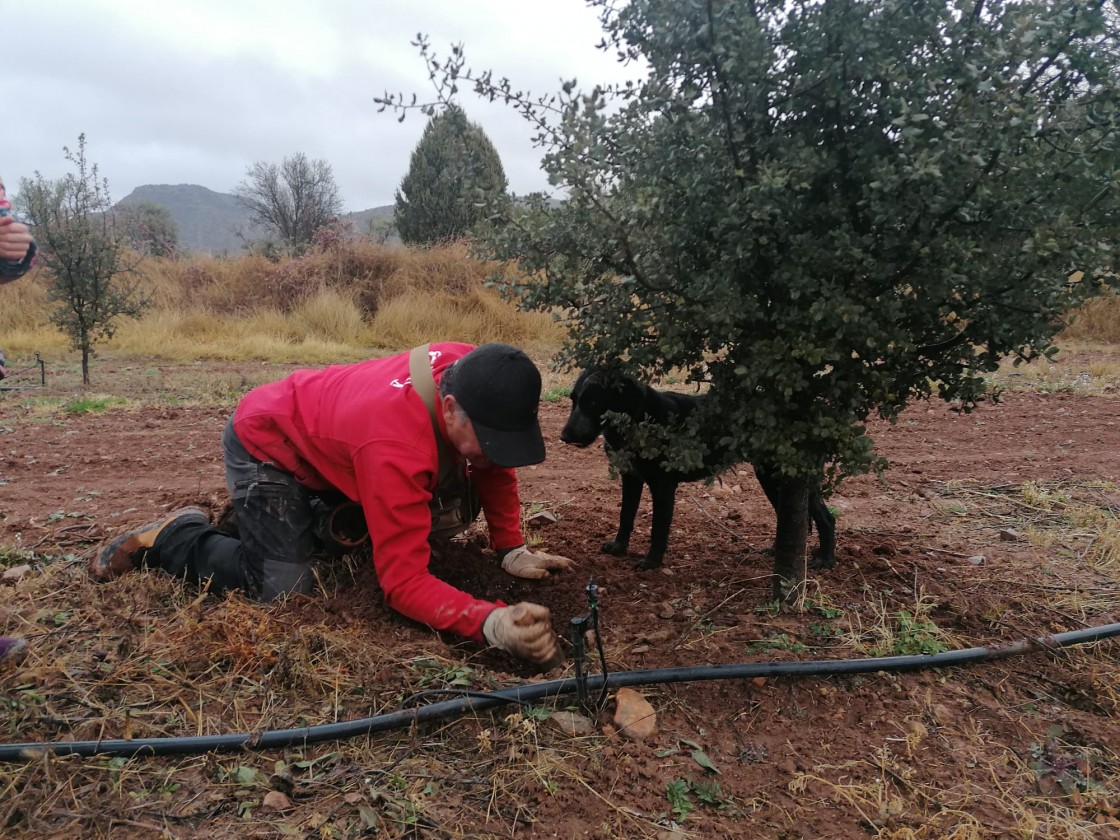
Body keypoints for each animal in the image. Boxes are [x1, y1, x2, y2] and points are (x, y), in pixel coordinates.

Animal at [560, 367, 833, 573]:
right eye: (573, 400)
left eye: (593, 402)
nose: (564, 437)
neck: (638, 420)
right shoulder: (631, 478)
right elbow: (625, 515)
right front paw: (619, 547)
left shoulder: (663, 487)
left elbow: (658, 529)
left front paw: (652, 562)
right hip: (770, 477)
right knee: (786, 515)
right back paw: (778, 550)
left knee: (827, 518)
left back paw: (826, 560)